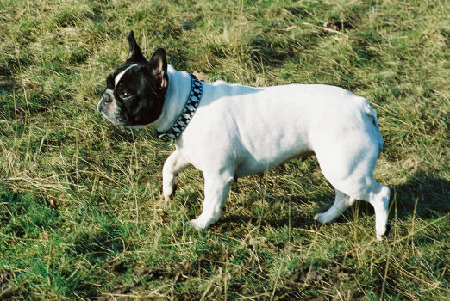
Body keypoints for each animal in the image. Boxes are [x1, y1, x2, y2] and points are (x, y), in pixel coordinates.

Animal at [97, 31, 390, 239]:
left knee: (380, 194)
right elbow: (168, 164)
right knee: (345, 196)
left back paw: (380, 232)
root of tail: (362, 107)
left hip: (344, 168)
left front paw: (202, 223)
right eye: (109, 83)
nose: (105, 98)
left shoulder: (217, 175)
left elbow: (212, 202)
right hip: (339, 166)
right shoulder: (188, 153)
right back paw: (327, 217)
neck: (186, 104)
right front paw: (169, 189)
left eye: (127, 94)